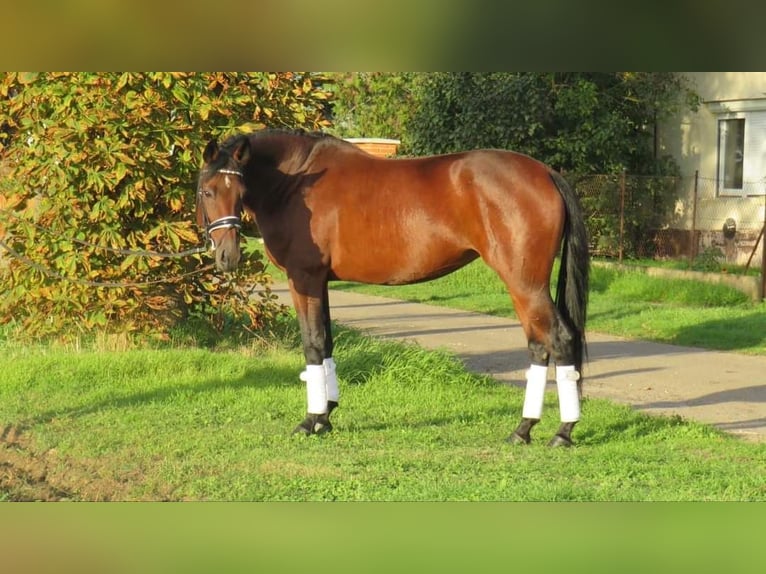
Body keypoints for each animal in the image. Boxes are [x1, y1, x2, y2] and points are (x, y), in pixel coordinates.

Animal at [200, 130, 592, 450]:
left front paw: (310, 421)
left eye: (236, 190)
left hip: (524, 283)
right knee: (539, 345)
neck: (297, 185)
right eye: (207, 191)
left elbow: (312, 345)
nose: (227, 256)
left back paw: (561, 432)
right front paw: (326, 416)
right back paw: (524, 430)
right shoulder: (320, 282)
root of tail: (545, 172)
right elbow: (326, 344)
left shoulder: (304, 279)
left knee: (558, 339)